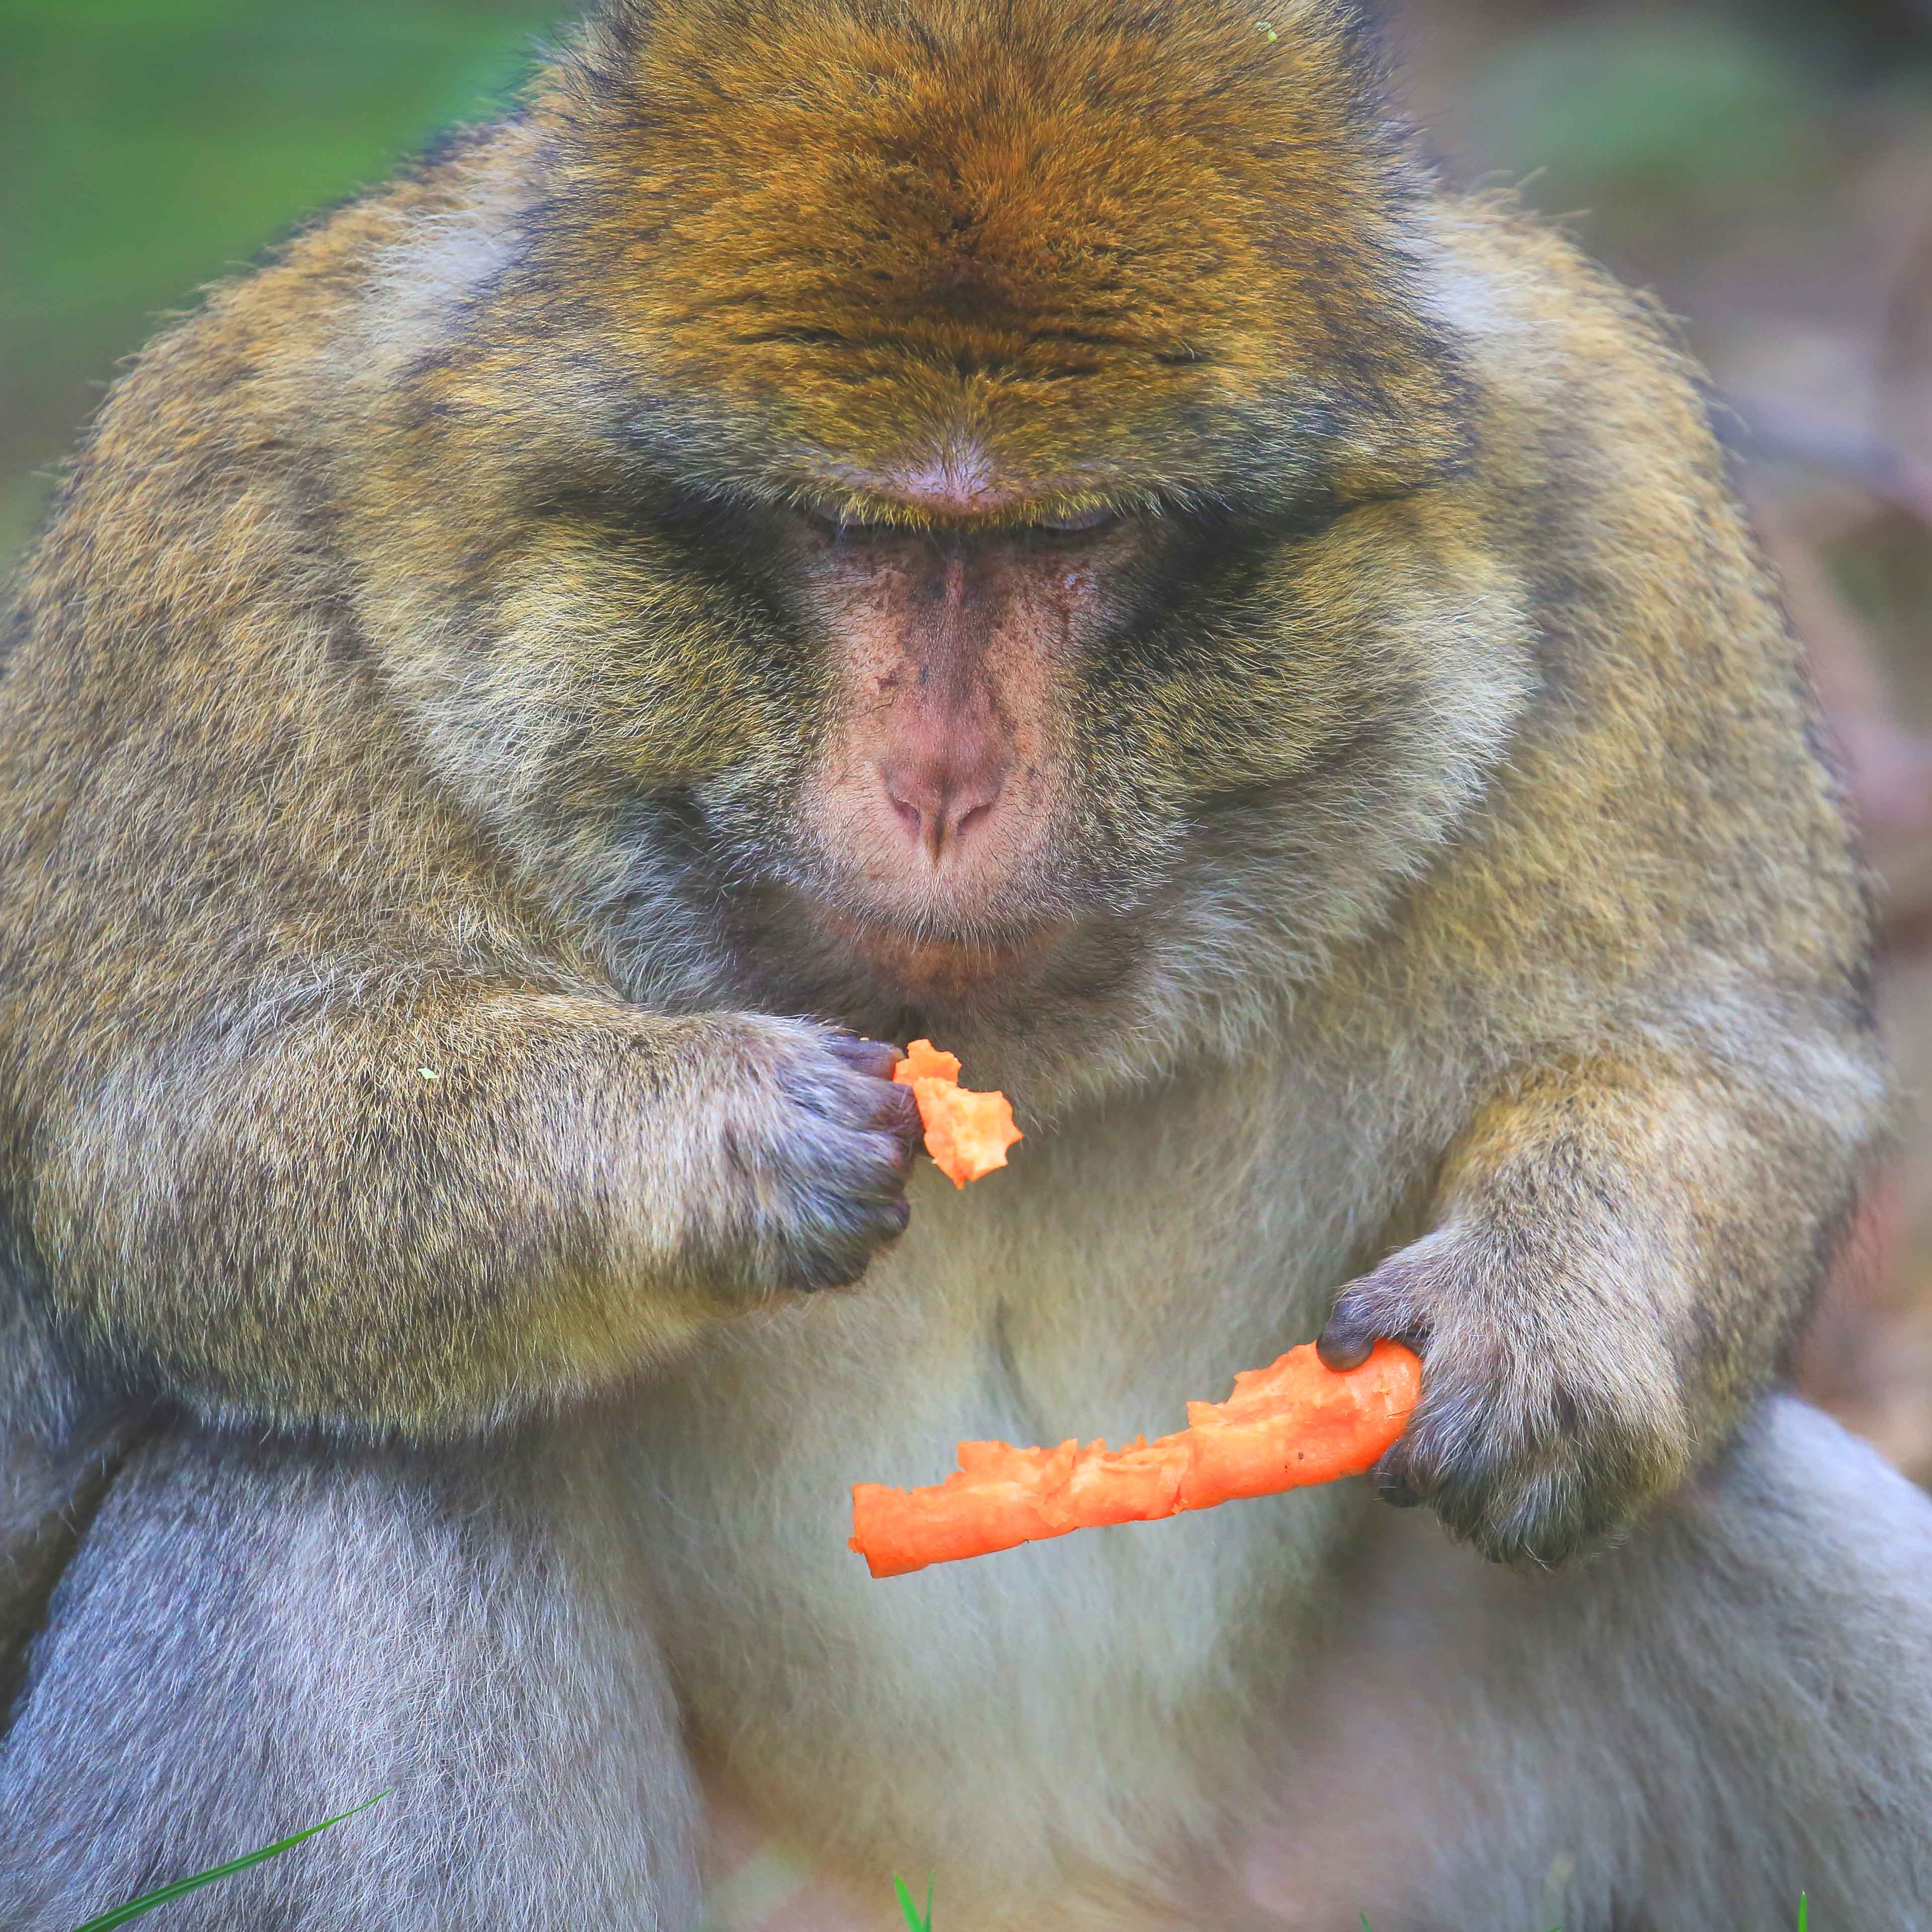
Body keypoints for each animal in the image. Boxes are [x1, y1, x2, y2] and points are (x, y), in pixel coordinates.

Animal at [4, 0, 1932, 1924]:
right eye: (851, 532)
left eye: (1074, 537)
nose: (941, 782)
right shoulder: (221, 531)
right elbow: (161, 1162)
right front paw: (706, 1131)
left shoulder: (1611, 494)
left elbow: (1723, 1059)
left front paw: (1546, 1316)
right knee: (343, 1487)